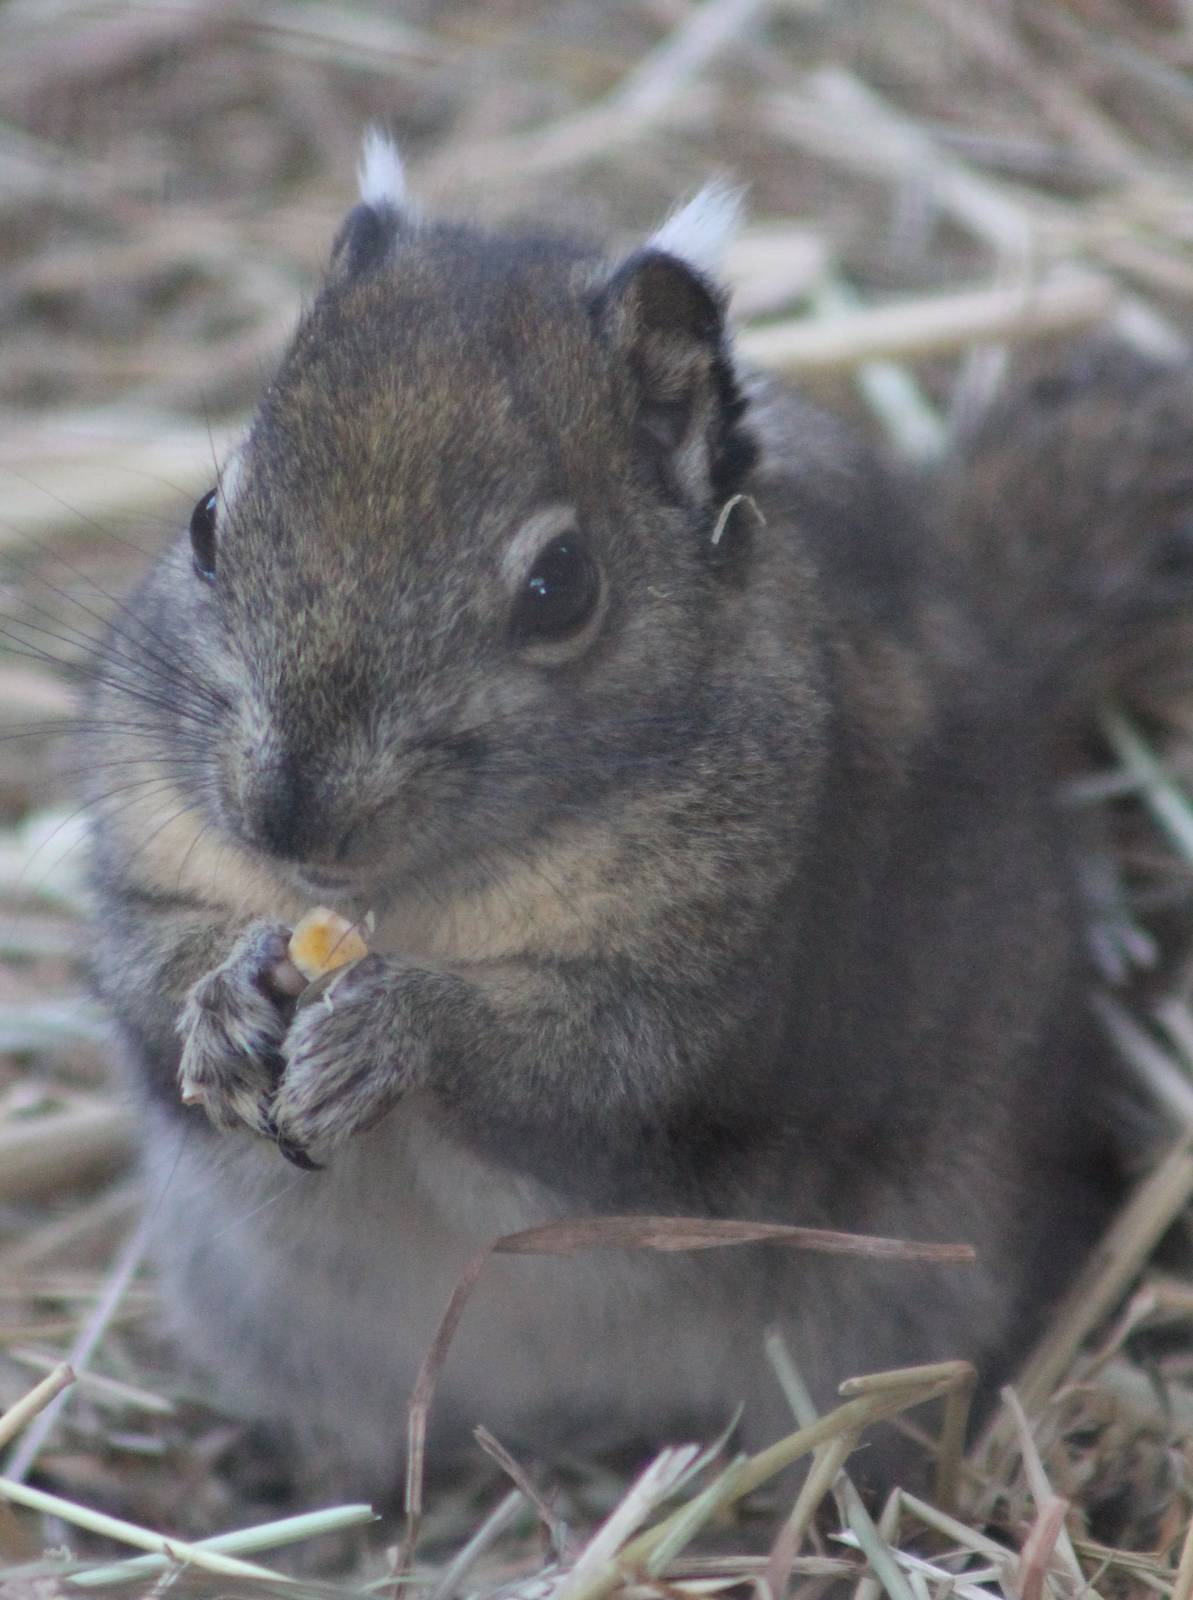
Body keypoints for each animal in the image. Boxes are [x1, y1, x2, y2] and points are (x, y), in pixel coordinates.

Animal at [84, 133, 1193, 1502]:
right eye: (204, 522)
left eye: (560, 586)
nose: (285, 815)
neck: (404, 902)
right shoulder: (150, 839)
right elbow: (141, 958)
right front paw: (224, 1003)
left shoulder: (729, 974)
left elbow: (602, 1067)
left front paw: (397, 1030)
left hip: (895, 1313)